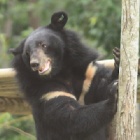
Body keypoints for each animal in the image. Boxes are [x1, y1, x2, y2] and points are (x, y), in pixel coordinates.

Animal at [9, 11, 119, 140]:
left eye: (43, 45)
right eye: (27, 53)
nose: (35, 64)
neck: (61, 71)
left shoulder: (87, 74)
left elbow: (102, 85)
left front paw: (118, 59)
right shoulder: (46, 91)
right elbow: (71, 116)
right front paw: (113, 97)